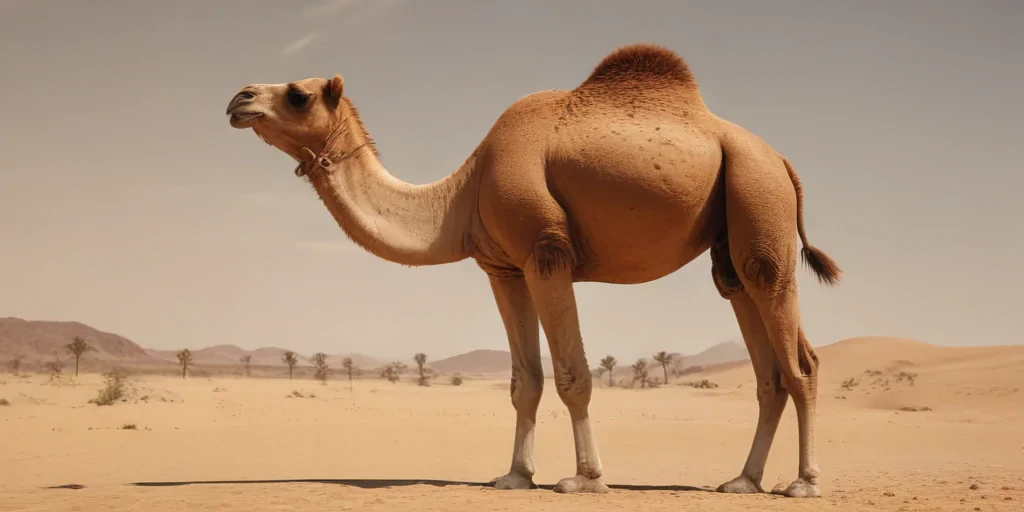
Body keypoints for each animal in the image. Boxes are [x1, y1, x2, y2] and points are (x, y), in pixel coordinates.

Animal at [224, 43, 841, 498]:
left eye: (298, 94)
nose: (239, 97)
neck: (462, 192)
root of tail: (782, 160)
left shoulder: (547, 251)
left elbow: (572, 375)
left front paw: (584, 479)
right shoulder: (503, 268)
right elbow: (526, 381)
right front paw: (515, 476)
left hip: (758, 196)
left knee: (799, 355)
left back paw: (804, 484)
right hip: (730, 239)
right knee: (763, 357)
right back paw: (743, 481)